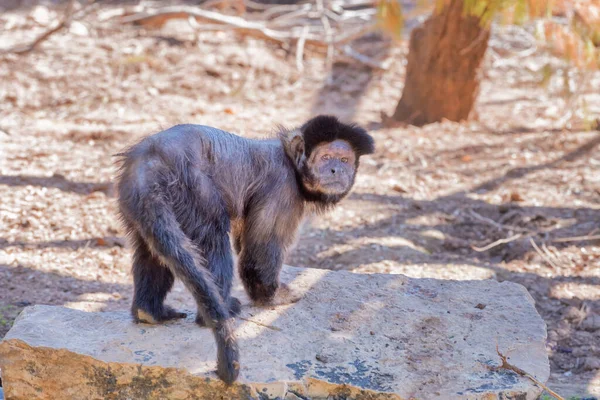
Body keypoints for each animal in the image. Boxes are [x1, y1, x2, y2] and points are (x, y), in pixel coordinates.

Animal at [115, 115, 372, 384]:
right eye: (326, 157)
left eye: (344, 160)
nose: (336, 170)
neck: (290, 162)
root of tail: (150, 160)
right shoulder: (282, 186)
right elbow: (259, 251)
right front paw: (272, 295)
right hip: (191, 188)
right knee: (213, 235)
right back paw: (218, 310)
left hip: (135, 200)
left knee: (154, 248)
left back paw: (149, 311)